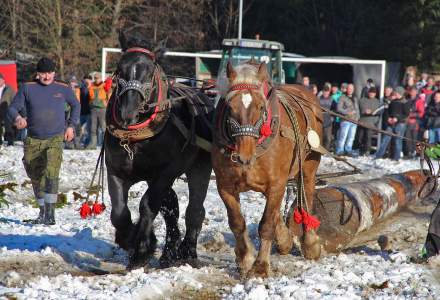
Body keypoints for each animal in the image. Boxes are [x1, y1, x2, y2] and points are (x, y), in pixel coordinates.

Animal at [104, 32, 212, 268]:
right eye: (120, 68)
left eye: (149, 71)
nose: (127, 113)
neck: (136, 139)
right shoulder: (115, 170)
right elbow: (119, 213)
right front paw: (130, 239)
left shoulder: (166, 172)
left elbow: (147, 204)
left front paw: (143, 249)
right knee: (171, 208)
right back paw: (169, 252)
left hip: (199, 166)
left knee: (194, 210)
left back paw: (188, 252)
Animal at [213, 62, 324, 278]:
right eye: (229, 107)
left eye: (261, 107)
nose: (243, 156)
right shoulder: (225, 186)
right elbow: (237, 222)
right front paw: (245, 259)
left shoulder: (276, 184)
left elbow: (266, 225)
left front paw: (260, 266)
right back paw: (284, 239)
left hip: (308, 168)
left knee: (306, 196)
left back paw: (310, 243)